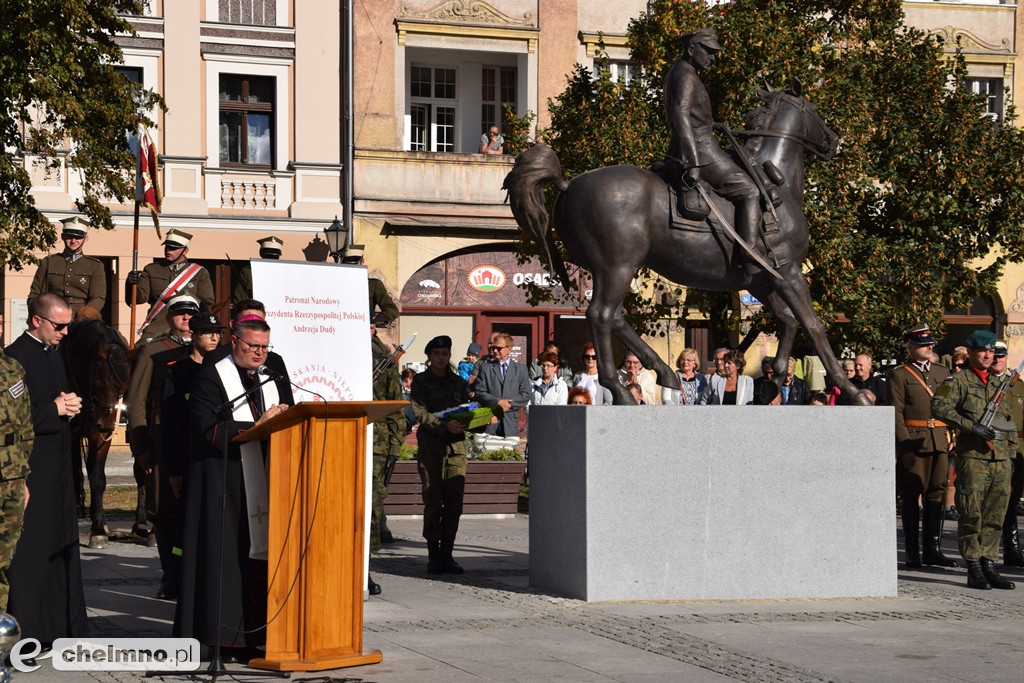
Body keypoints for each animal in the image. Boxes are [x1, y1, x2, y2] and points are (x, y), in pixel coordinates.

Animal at [62, 317, 135, 548]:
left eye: (122, 386)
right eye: (99, 380)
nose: (106, 424)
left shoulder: (100, 438)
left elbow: (97, 479)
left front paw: (98, 529)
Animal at [499, 79, 868, 403]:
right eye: (815, 110)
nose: (834, 140)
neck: (774, 185)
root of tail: (567, 184)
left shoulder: (762, 279)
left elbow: (788, 321)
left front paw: (773, 381)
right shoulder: (789, 273)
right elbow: (814, 326)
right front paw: (853, 391)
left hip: (612, 269)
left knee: (615, 316)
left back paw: (663, 371)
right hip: (618, 265)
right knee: (601, 315)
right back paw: (622, 391)